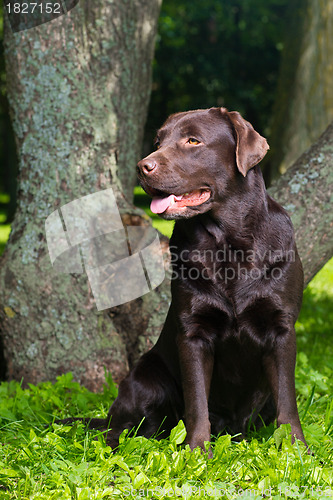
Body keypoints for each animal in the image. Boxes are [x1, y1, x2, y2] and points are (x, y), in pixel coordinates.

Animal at [62, 107, 306, 452]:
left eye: (193, 141)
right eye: (158, 141)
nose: (143, 167)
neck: (228, 243)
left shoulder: (281, 328)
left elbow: (288, 400)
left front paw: (297, 450)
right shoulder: (193, 334)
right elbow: (196, 402)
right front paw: (197, 451)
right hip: (146, 376)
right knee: (120, 428)